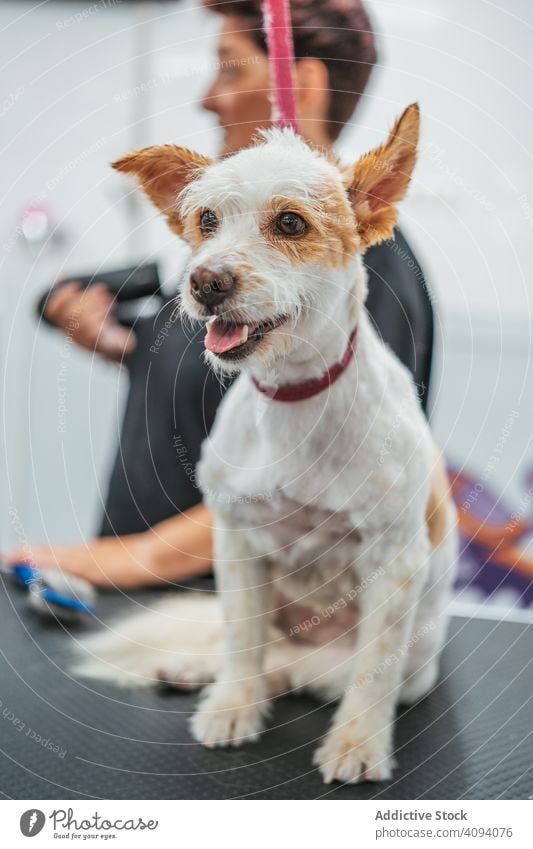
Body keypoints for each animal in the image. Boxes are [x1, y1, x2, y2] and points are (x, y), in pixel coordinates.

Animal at [83, 104, 458, 780]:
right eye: (206, 221)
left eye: (290, 222)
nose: (205, 281)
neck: (293, 399)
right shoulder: (236, 543)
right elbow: (242, 638)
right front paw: (233, 705)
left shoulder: (394, 559)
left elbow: (373, 672)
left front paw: (358, 744)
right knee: (257, 652)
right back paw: (199, 672)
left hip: (375, 661)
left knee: (301, 672)